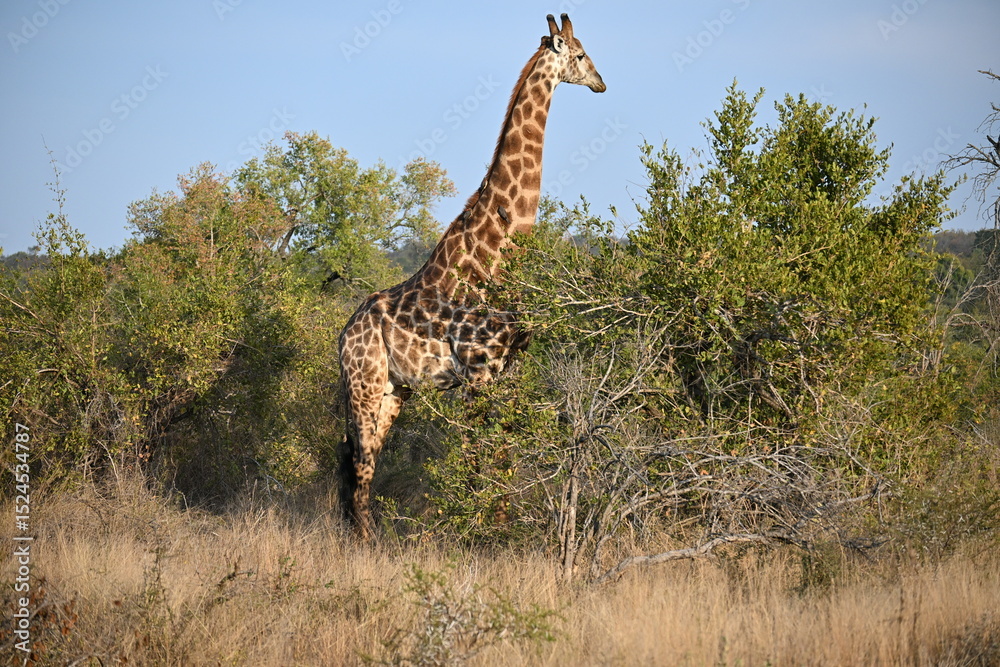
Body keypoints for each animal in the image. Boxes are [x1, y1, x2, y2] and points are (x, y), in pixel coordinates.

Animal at [338, 13, 606, 538]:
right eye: (582, 54)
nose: (602, 83)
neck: (498, 250)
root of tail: (342, 335)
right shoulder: (477, 372)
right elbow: (477, 454)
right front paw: (479, 532)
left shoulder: (508, 368)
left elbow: (503, 449)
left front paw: (499, 528)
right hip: (363, 383)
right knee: (358, 456)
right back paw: (362, 539)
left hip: (394, 389)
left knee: (364, 455)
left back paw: (365, 533)